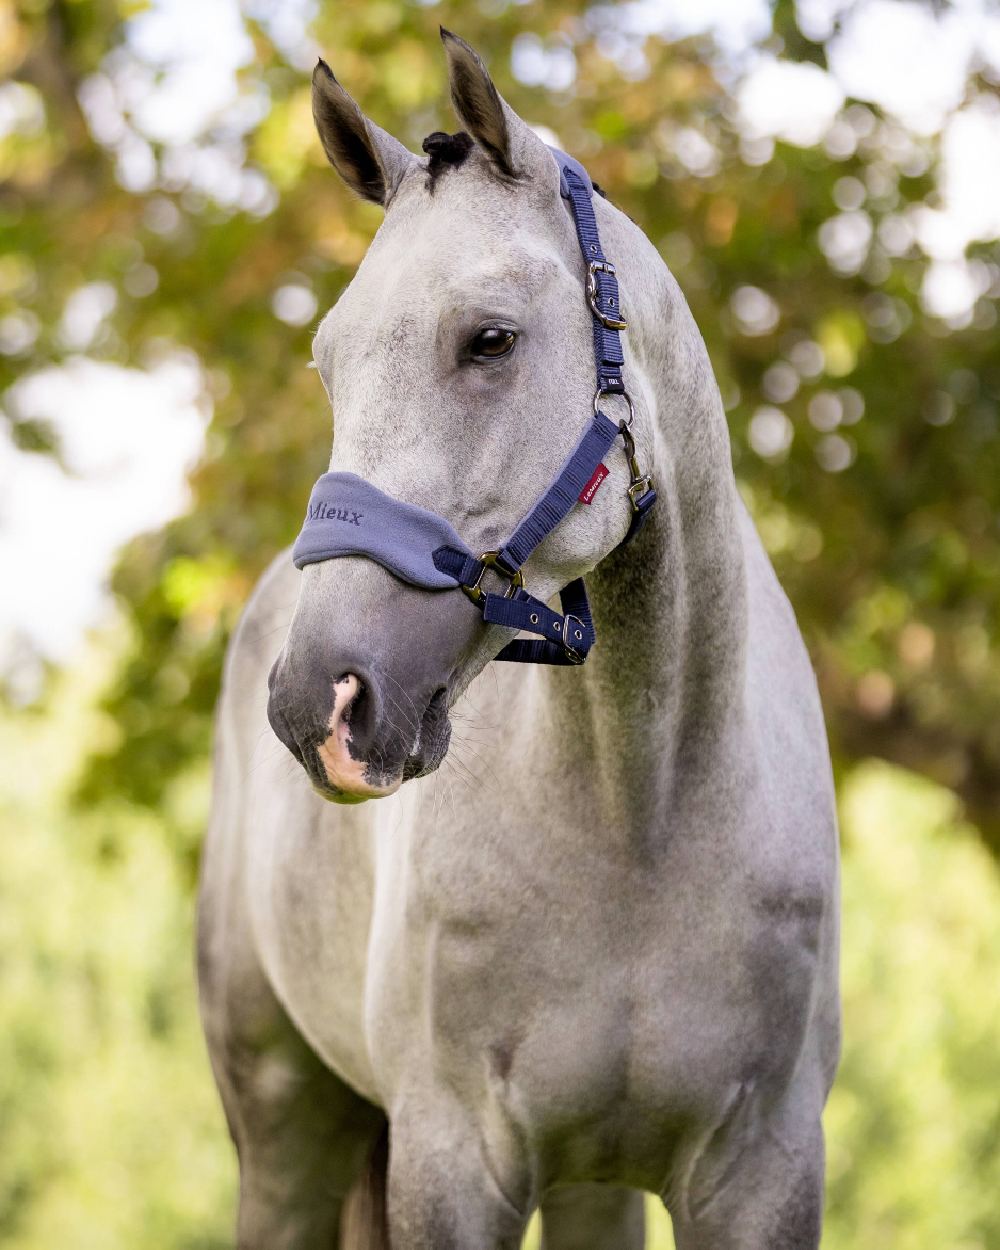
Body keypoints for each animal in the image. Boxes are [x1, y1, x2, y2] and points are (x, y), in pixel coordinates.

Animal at [195, 29, 835, 1250]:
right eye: (329, 363)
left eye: (487, 340)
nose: (318, 702)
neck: (643, 818)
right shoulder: (454, 1161)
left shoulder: (765, 1169)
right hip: (283, 1128)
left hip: (591, 1179)